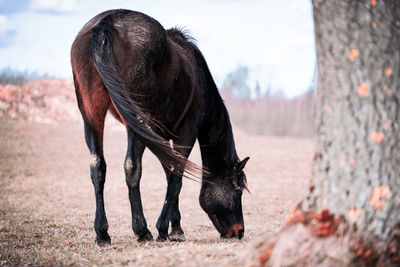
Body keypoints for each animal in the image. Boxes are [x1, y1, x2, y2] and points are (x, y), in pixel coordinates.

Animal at [70, 9, 248, 246]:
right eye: (238, 192)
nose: (238, 231)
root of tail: (106, 23)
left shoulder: (160, 138)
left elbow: (169, 172)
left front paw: (176, 228)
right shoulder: (186, 132)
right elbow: (176, 178)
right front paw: (165, 229)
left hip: (91, 115)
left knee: (97, 167)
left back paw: (102, 233)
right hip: (136, 121)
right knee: (132, 168)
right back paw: (142, 231)